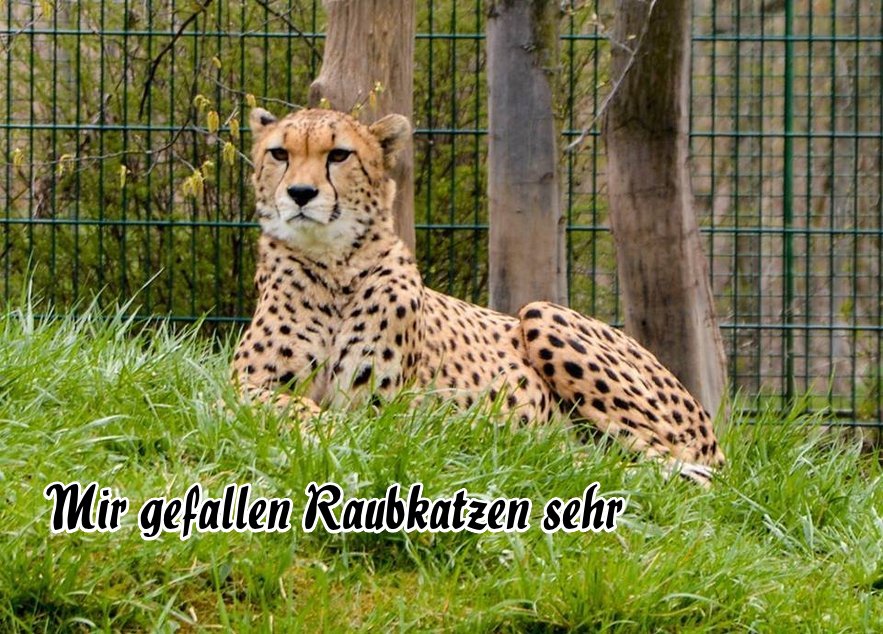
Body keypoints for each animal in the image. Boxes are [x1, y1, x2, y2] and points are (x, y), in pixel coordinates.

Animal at [232, 106, 725, 485]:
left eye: (338, 155)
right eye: (280, 153)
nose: (300, 193)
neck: (333, 268)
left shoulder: (383, 409)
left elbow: (348, 421)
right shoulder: (244, 387)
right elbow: (275, 404)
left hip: (541, 313)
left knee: (672, 463)